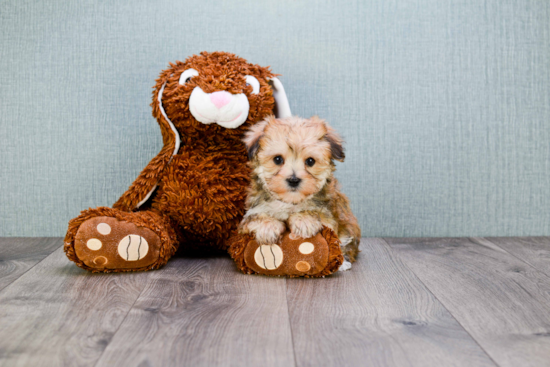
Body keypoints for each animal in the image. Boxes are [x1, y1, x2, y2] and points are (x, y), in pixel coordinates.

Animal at [238, 116, 362, 268]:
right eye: (277, 159)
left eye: (310, 161)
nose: (293, 180)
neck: (290, 201)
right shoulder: (251, 213)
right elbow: (256, 217)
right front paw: (268, 227)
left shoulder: (328, 216)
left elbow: (316, 214)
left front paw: (304, 220)